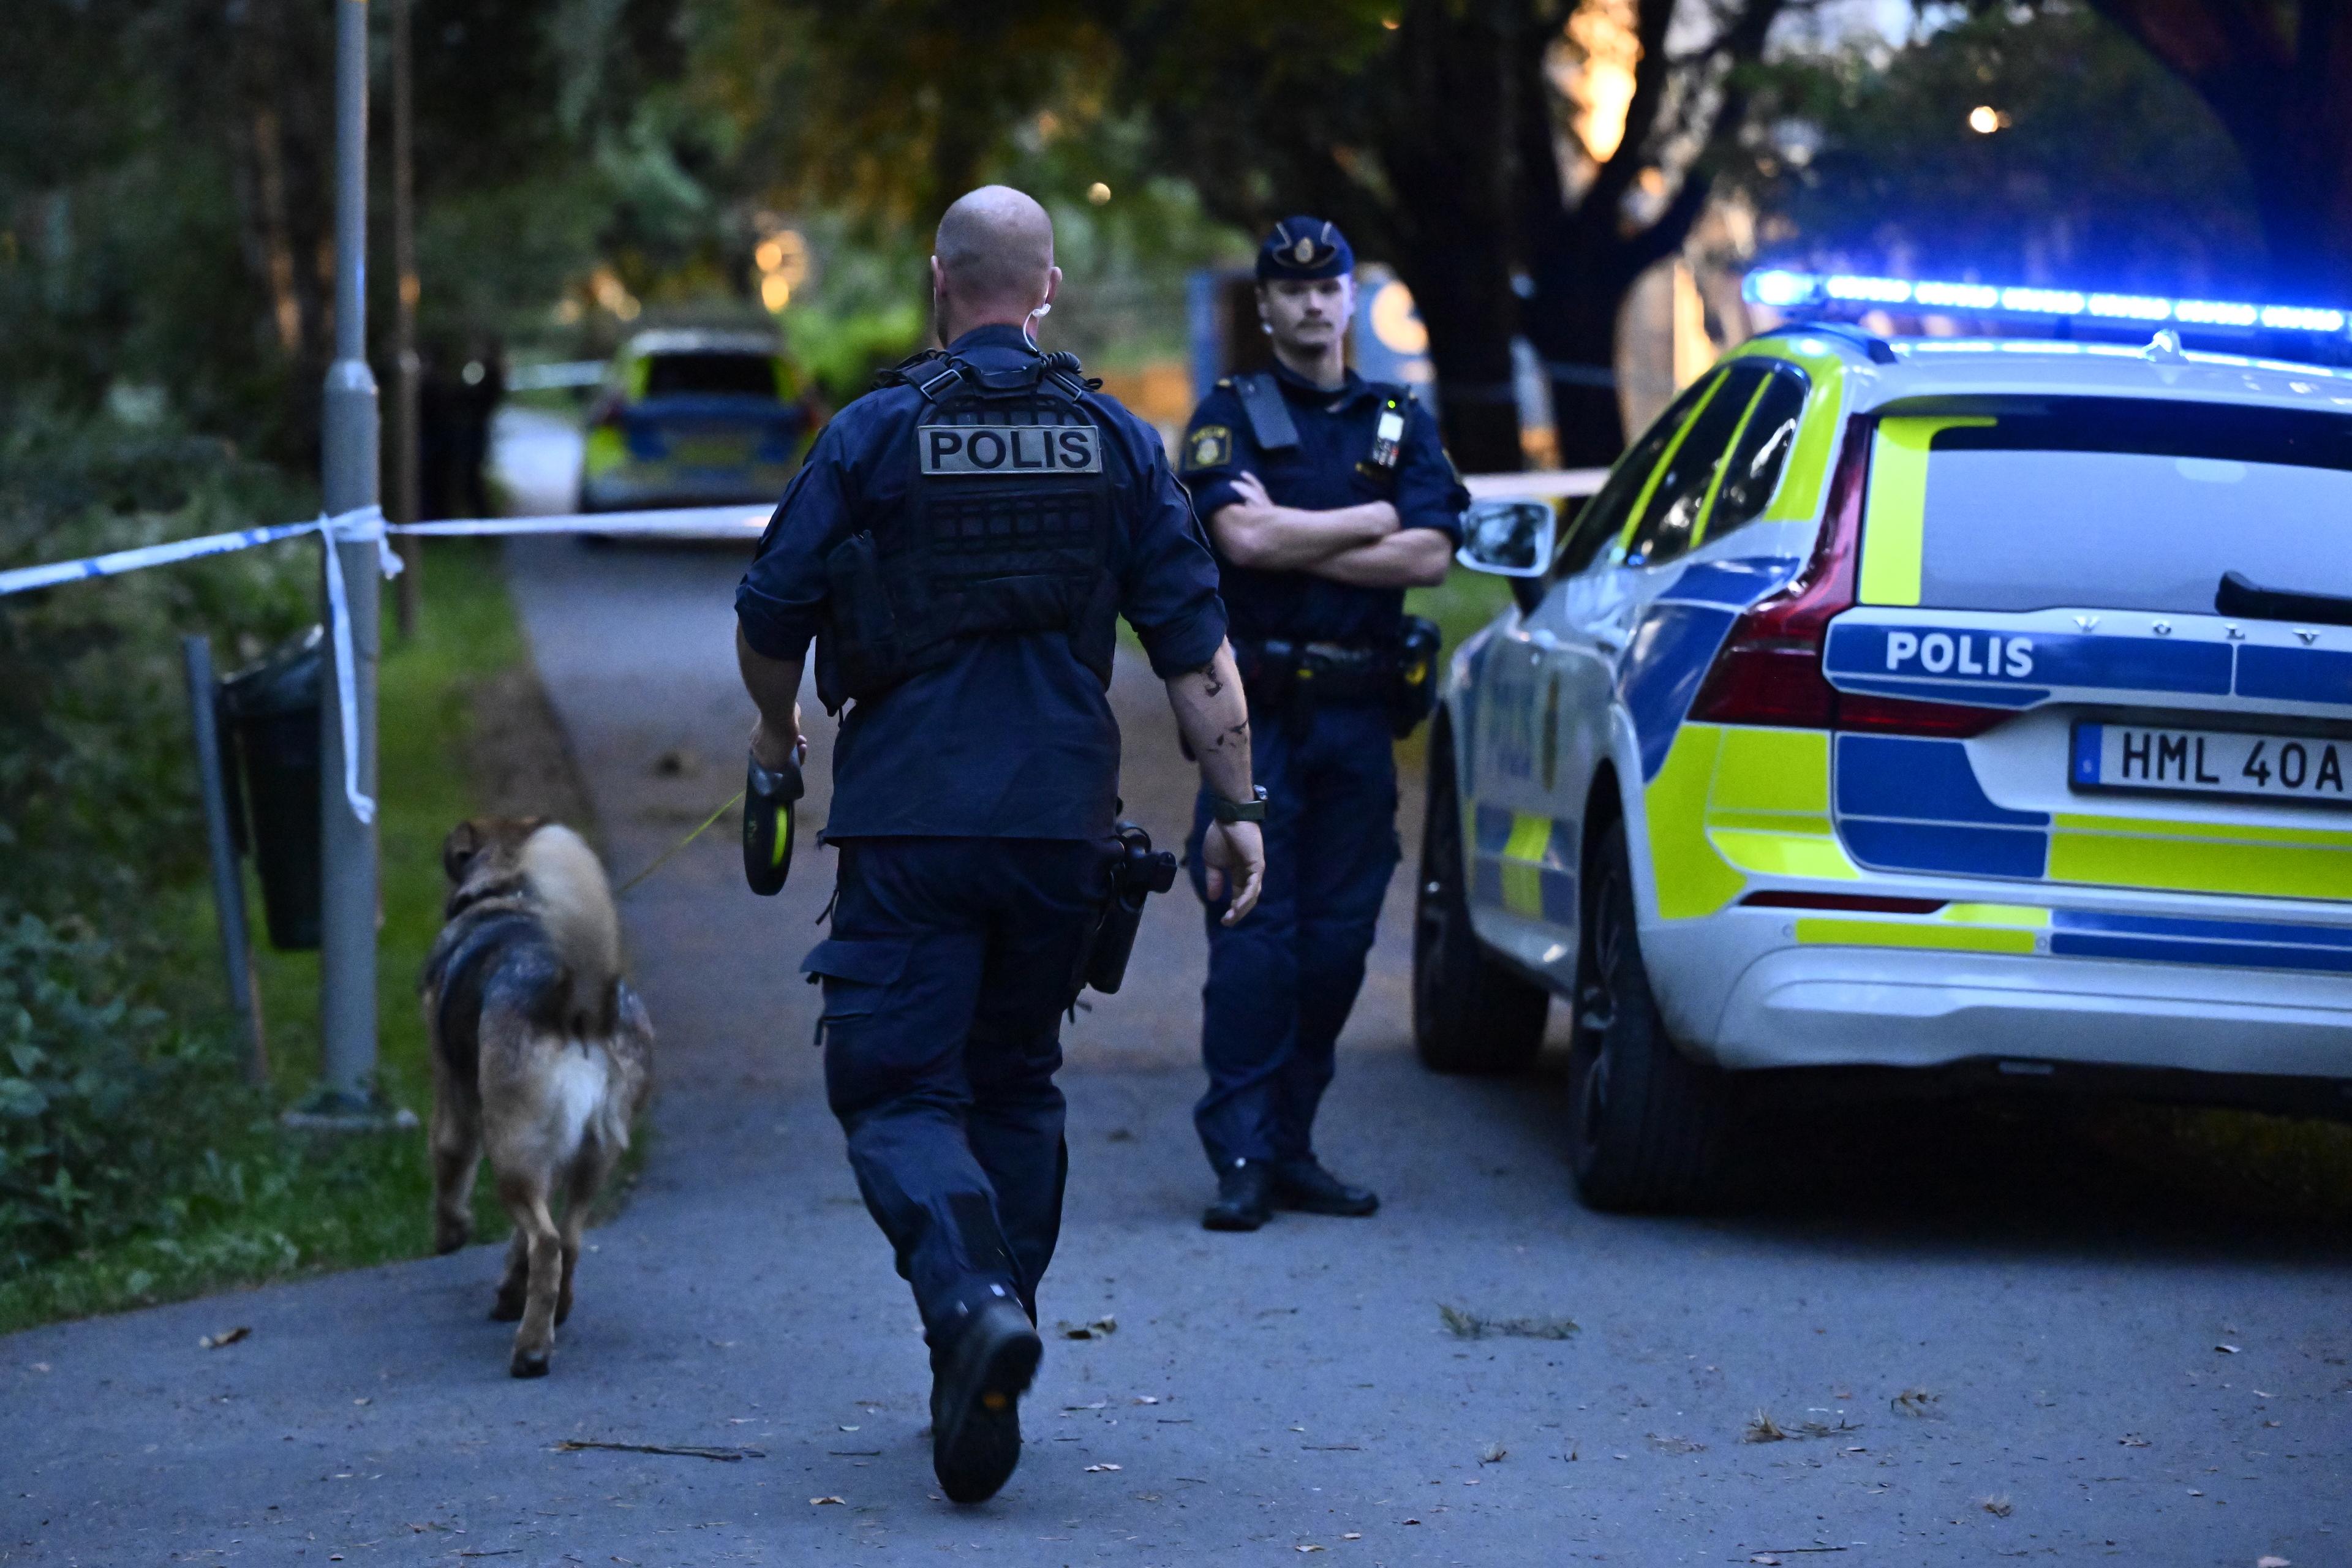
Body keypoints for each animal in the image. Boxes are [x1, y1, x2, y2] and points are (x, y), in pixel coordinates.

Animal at [423, 818, 654, 1382]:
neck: (510, 894)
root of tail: (580, 1004)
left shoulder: (456, 1106)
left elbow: (450, 1168)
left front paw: (452, 1233)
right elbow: (519, 1241)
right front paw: (511, 1288)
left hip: (510, 1151)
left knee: (548, 1243)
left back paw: (530, 1350)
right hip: (592, 1154)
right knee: (567, 1239)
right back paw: (554, 1313)